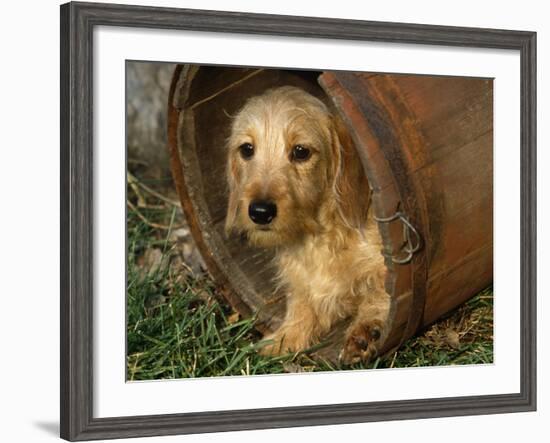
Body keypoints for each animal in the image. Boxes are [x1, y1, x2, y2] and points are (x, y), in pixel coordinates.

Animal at [225, 86, 392, 364]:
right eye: (247, 149)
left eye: (301, 151)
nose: (260, 212)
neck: (319, 237)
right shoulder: (303, 283)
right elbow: (302, 306)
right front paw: (283, 339)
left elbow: (379, 291)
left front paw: (367, 330)